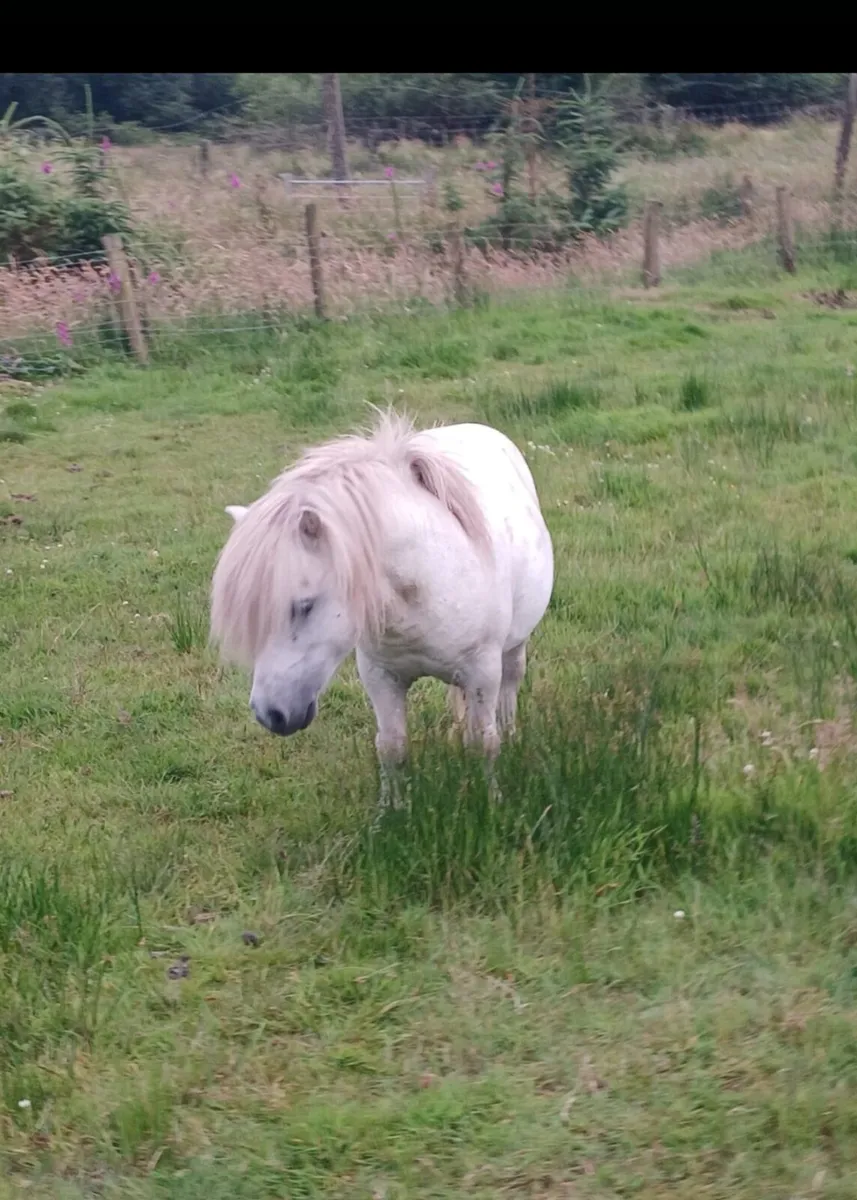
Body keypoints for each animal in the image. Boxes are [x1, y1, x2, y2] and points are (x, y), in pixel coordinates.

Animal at [210, 411, 554, 803]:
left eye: (305, 605)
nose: (270, 715)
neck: (424, 584)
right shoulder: (381, 677)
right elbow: (391, 746)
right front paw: (391, 809)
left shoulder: (483, 672)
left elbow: (483, 742)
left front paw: (490, 801)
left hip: (514, 647)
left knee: (510, 688)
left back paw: (511, 736)